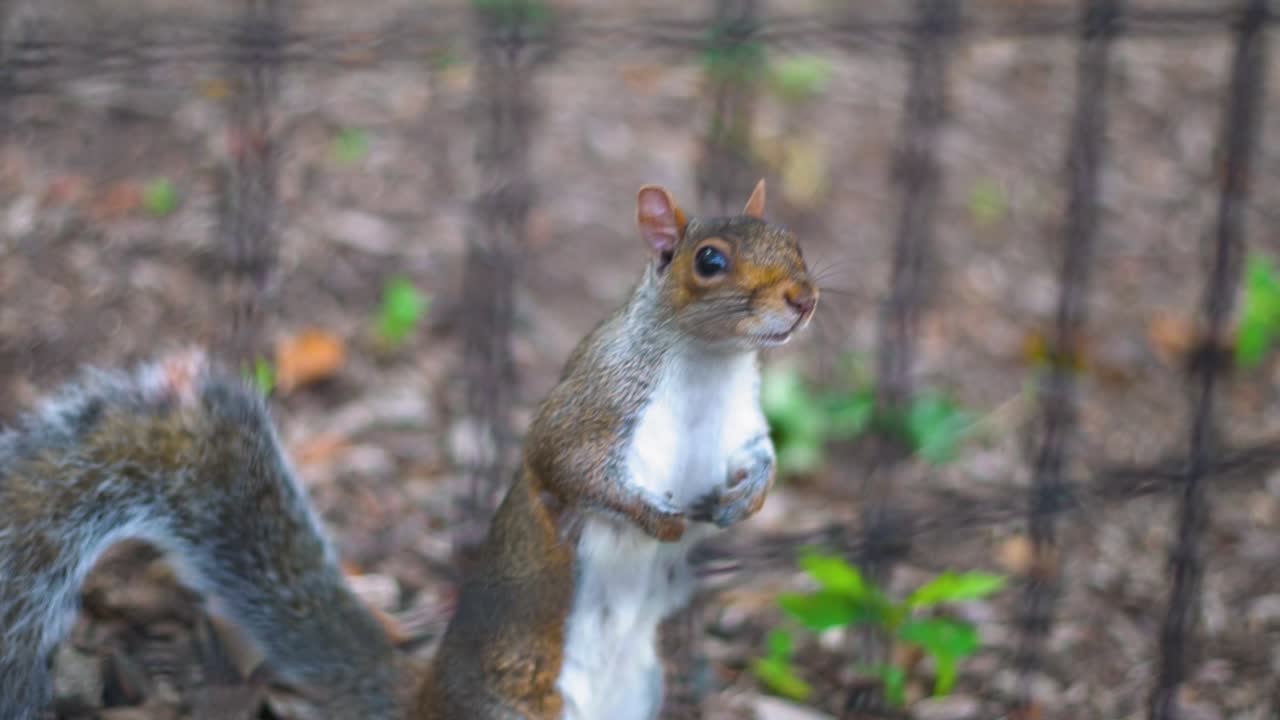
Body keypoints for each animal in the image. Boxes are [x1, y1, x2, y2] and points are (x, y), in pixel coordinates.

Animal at [0, 179, 817, 720]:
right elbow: (569, 466)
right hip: (519, 703)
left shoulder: (740, 424)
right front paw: (657, 520)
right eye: (708, 261)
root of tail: (426, 701)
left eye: (795, 242)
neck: (708, 368)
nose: (804, 300)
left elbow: (764, 456)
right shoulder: (595, 403)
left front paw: (749, 499)